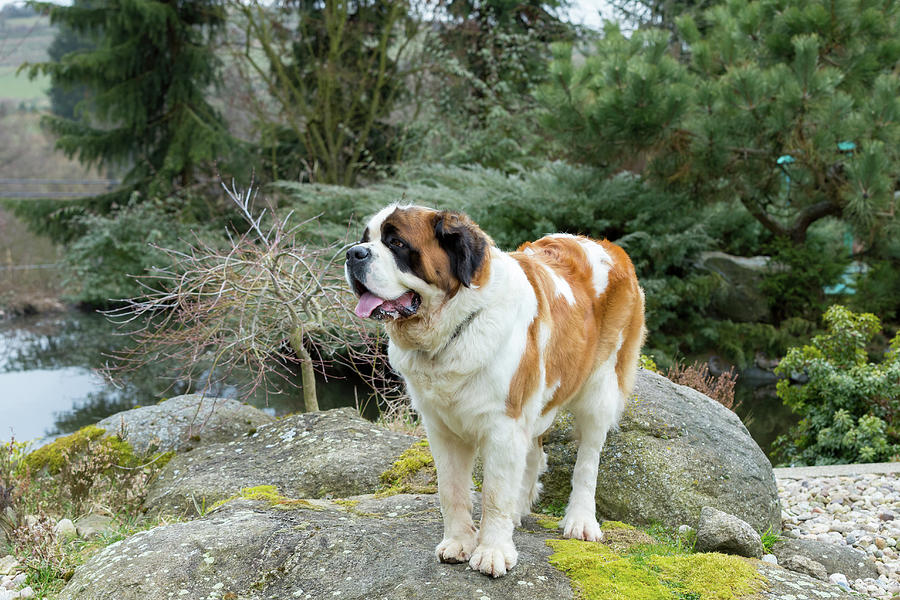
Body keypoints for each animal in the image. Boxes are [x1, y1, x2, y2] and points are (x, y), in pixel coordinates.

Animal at [344, 205, 648, 576]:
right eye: (365, 239)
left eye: (397, 243)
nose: (353, 254)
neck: (455, 327)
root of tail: (608, 246)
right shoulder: (442, 428)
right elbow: (452, 489)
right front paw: (459, 542)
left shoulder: (504, 424)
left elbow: (494, 493)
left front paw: (493, 551)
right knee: (534, 454)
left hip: (599, 390)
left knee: (588, 460)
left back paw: (580, 521)